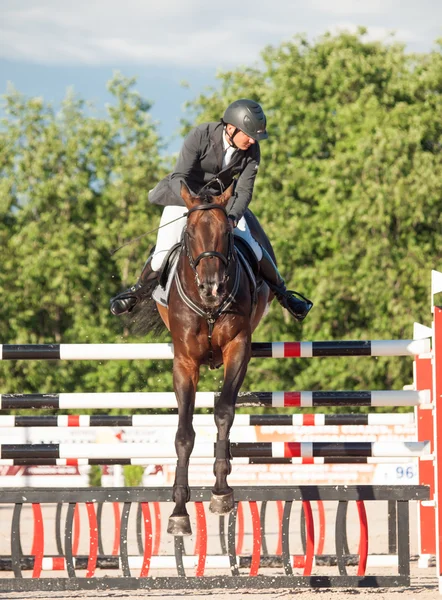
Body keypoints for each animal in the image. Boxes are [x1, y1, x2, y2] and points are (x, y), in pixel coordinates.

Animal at [133, 182, 274, 536]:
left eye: (226, 232)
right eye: (190, 233)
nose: (212, 287)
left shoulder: (238, 348)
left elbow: (224, 412)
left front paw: (221, 491)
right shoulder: (184, 363)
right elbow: (184, 435)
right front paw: (179, 510)